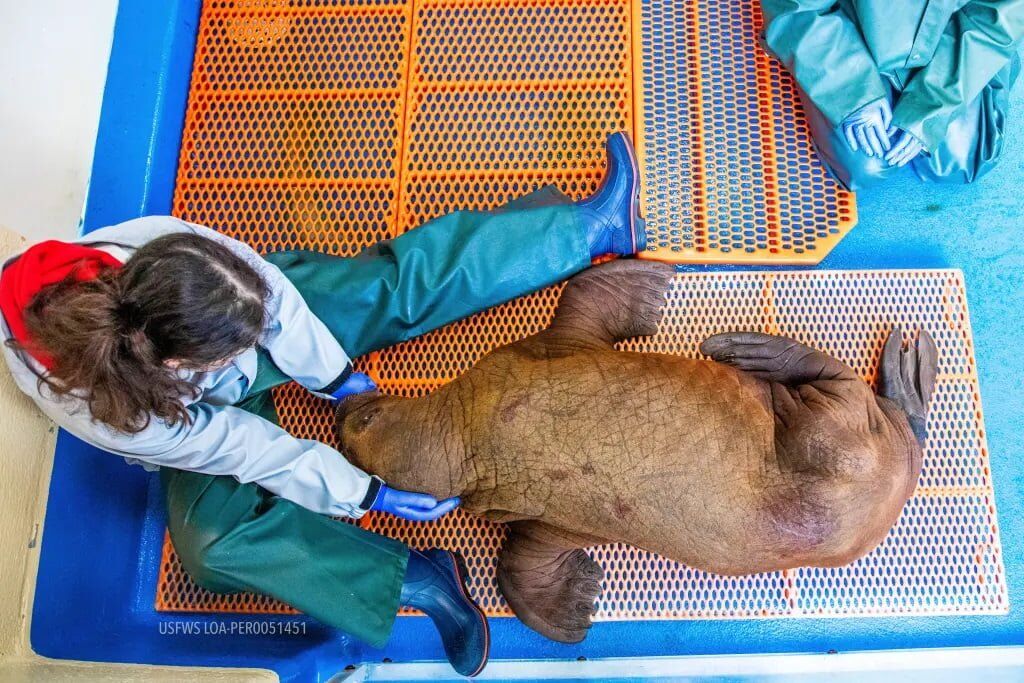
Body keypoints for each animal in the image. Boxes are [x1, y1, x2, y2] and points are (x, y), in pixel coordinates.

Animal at [335, 259, 937, 643]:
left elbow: (583, 298)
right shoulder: (545, 514)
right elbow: (523, 567)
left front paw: (647, 270)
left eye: (367, 419)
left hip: (833, 427)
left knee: (839, 382)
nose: (343, 410)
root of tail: (906, 449)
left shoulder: (538, 354)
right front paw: (576, 607)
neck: (468, 427)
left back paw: (753, 350)